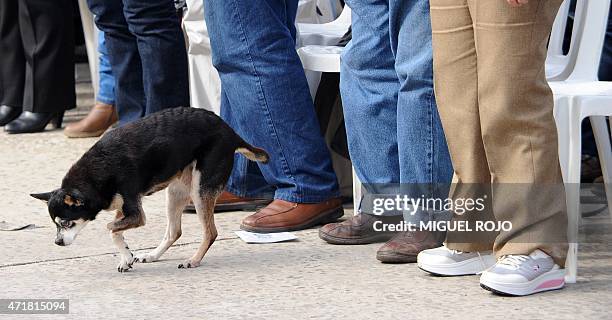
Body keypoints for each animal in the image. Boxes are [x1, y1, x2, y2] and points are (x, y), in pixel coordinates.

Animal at [31, 106, 268, 272]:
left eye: (66, 223)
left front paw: (126, 255)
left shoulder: (136, 214)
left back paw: (193, 260)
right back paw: (153, 255)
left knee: (210, 232)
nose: (57, 242)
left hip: (200, 191)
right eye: (55, 225)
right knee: (174, 231)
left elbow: (110, 228)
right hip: (176, 192)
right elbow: (117, 230)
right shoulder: (124, 207)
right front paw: (126, 257)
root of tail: (230, 131)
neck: (98, 172)